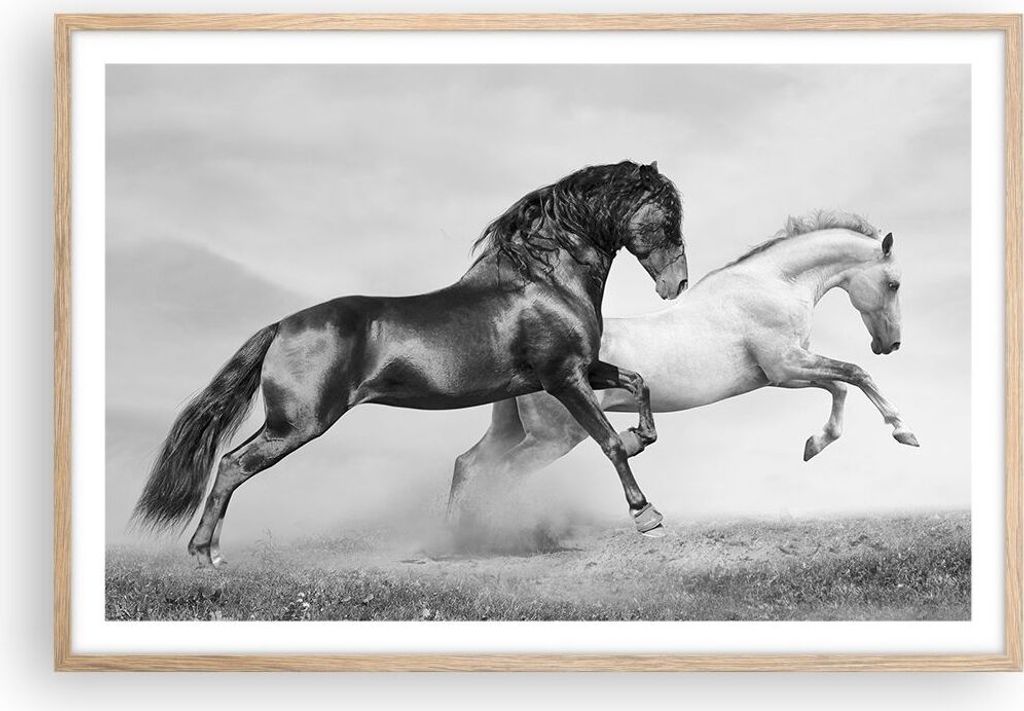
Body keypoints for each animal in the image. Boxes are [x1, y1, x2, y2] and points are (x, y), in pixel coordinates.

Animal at [134, 161, 689, 566]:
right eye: (667, 216)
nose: (677, 284)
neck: (544, 282)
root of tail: (282, 326)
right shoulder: (563, 378)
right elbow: (609, 442)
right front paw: (647, 515)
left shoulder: (584, 368)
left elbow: (638, 383)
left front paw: (643, 437)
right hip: (298, 423)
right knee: (232, 464)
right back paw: (205, 554)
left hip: (289, 422)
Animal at [447, 210, 919, 531]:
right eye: (893, 283)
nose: (890, 344)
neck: (773, 285)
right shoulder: (785, 366)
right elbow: (854, 375)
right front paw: (904, 432)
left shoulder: (785, 371)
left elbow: (840, 387)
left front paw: (814, 444)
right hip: (553, 438)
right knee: (501, 475)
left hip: (514, 430)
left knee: (468, 465)